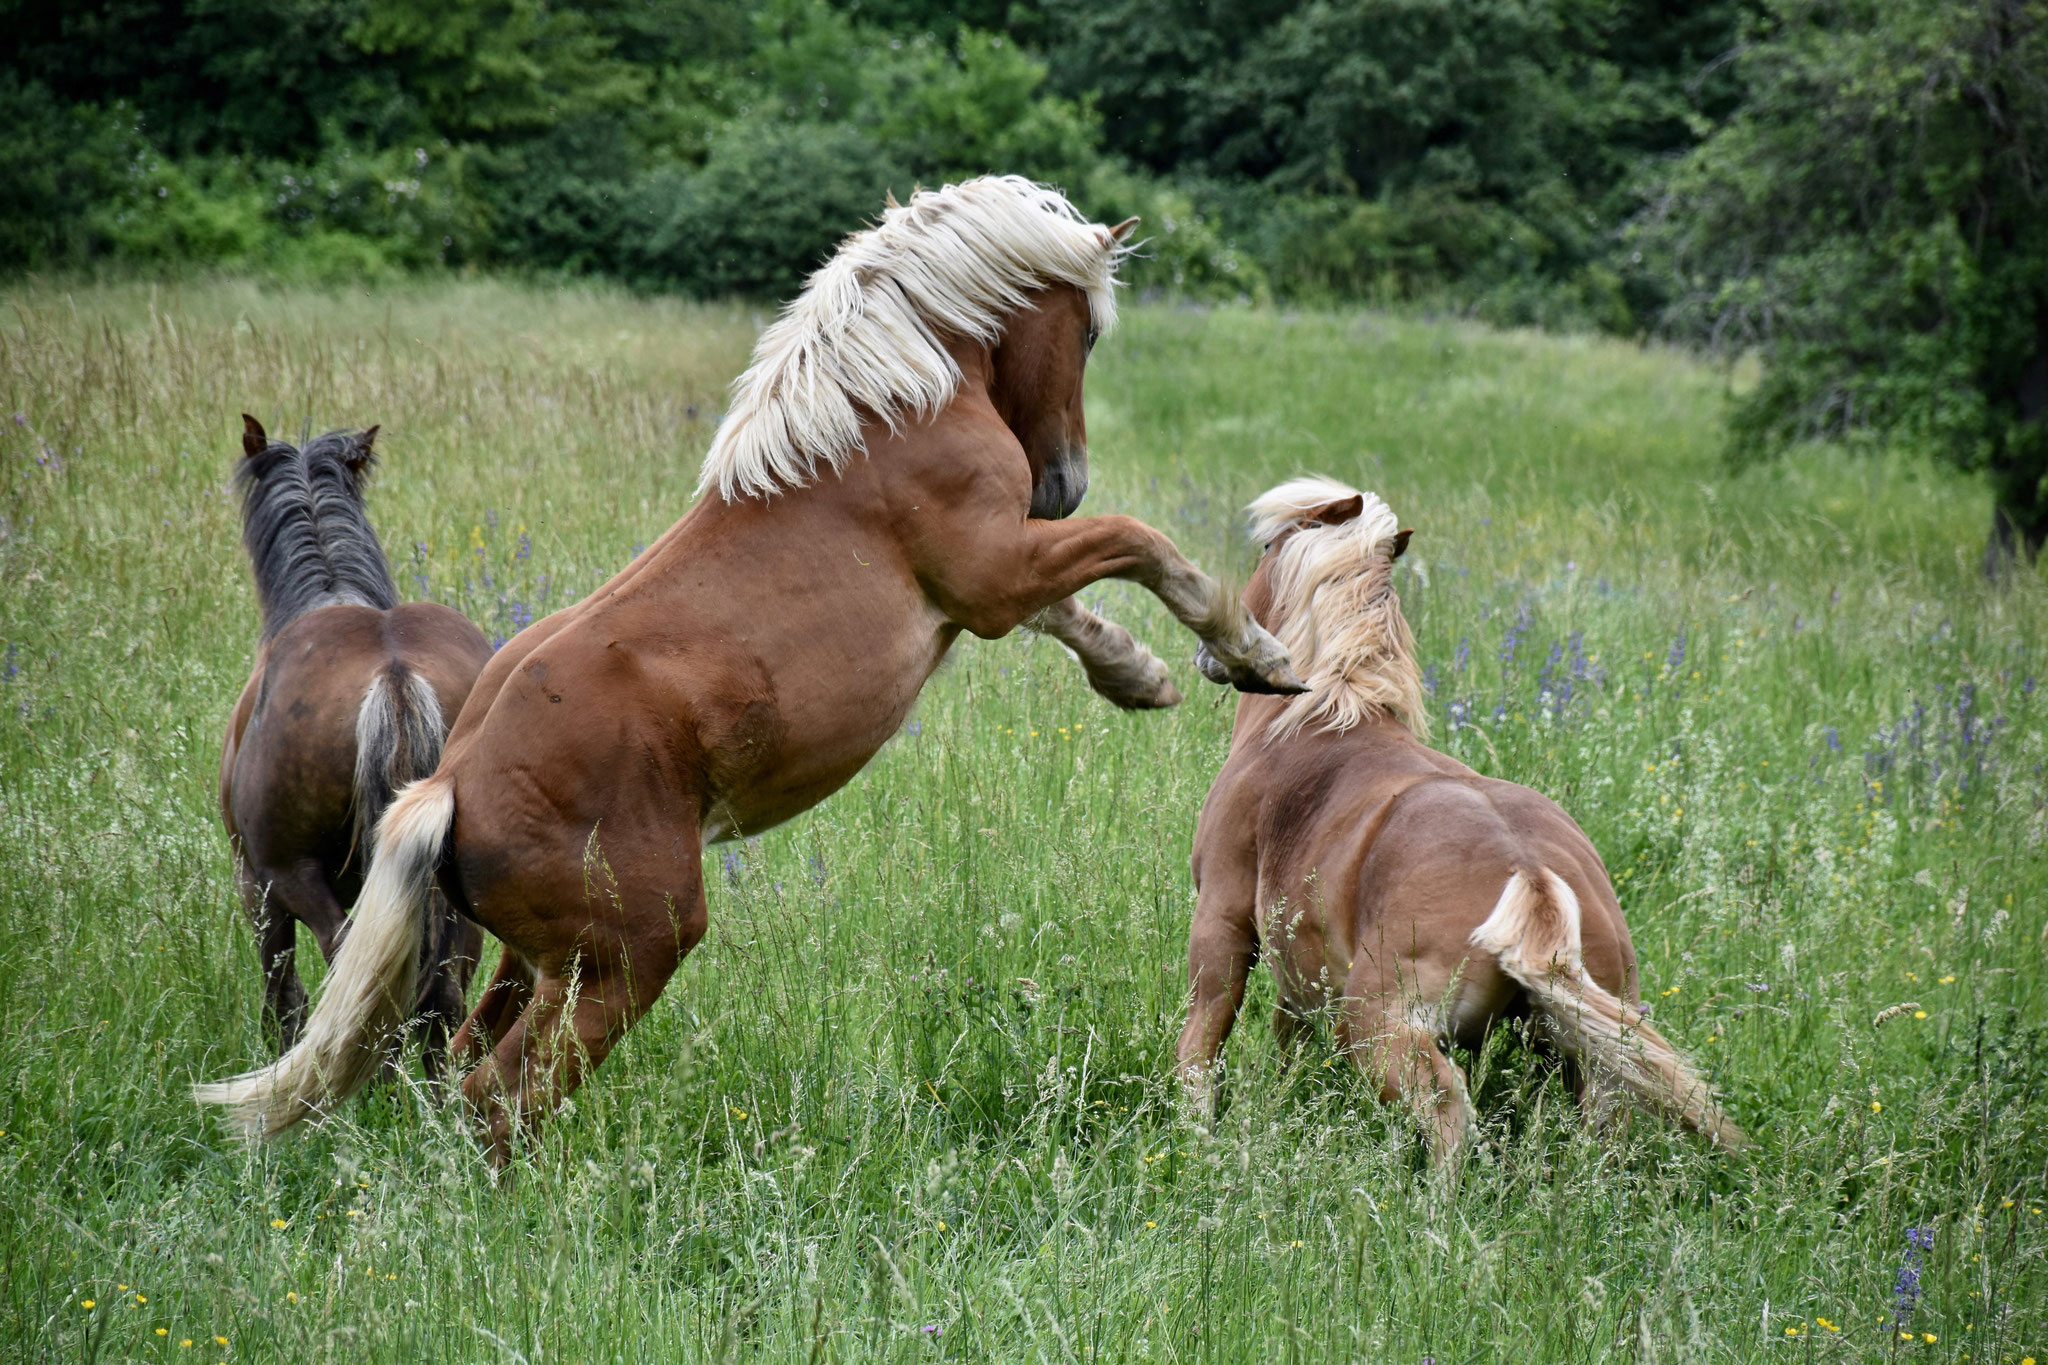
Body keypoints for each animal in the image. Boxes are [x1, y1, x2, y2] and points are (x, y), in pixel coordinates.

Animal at [1179, 478, 1736, 1162]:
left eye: (1264, 546)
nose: (1209, 651)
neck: (1321, 719)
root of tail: (1532, 877)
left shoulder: (1224, 921)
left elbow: (1202, 1040)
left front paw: (1197, 1131)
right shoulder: (1299, 976)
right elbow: (1288, 1051)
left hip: (1378, 1025)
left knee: (1447, 1110)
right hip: (1590, 1057)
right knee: (1603, 1127)